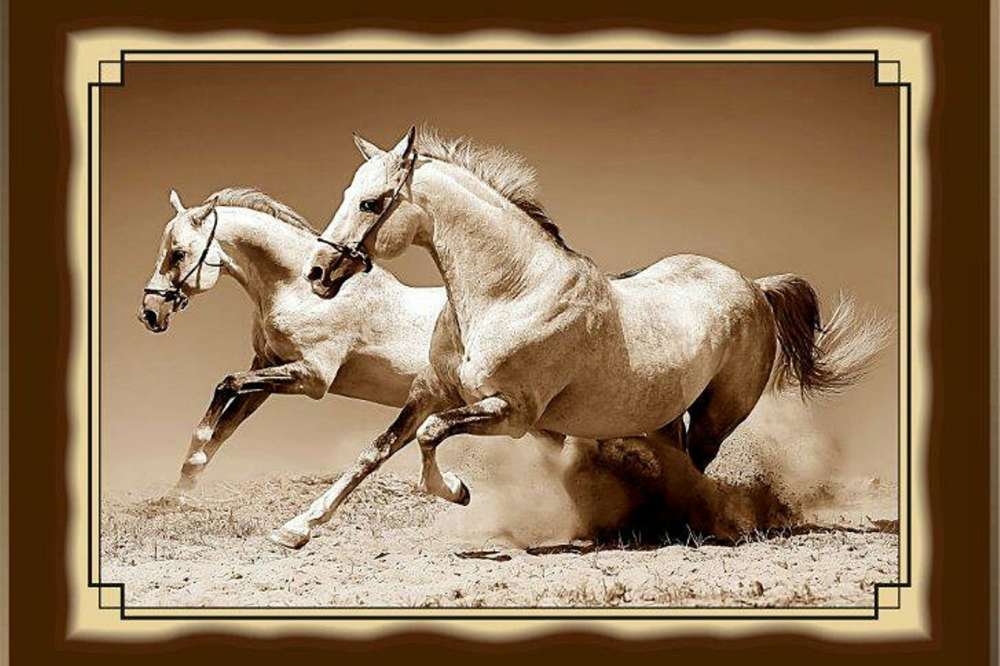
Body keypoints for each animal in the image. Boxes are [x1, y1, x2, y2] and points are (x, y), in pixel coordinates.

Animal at [139, 186, 446, 498]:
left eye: (178, 254)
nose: (149, 313)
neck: (300, 291)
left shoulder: (312, 377)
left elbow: (227, 385)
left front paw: (195, 455)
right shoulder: (268, 366)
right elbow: (226, 425)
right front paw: (181, 489)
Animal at [267, 127, 889, 549]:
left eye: (371, 202)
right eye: (349, 193)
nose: (318, 273)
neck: (510, 292)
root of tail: (753, 287)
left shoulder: (512, 413)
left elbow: (431, 437)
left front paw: (459, 490)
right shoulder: (429, 393)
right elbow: (375, 452)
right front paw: (295, 529)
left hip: (719, 414)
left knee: (695, 467)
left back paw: (690, 525)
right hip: (662, 416)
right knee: (678, 463)